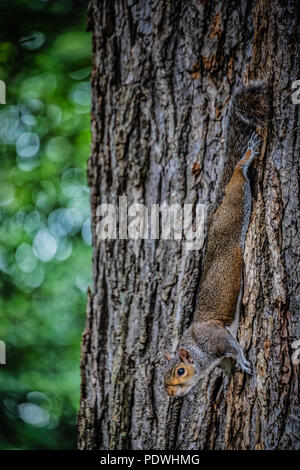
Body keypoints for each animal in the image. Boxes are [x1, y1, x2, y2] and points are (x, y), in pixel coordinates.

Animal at [164, 83, 270, 396]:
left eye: (180, 370)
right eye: (163, 376)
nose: (170, 393)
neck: (199, 352)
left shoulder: (217, 338)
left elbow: (233, 348)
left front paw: (244, 362)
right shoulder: (216, 357)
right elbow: (225, 365)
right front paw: (227, 379)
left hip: (235, 206)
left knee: (238, 175)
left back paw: (247, 157)